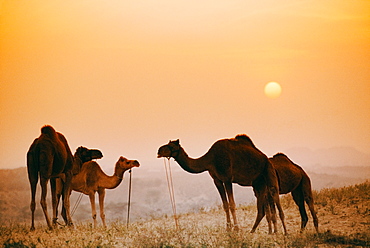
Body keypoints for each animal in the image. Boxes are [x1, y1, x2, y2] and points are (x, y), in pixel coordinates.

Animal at [158, 135, 288, 233]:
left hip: (268, 170)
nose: (159, 150)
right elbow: (225, 205)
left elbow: (232, 204)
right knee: (263, 204)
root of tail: (266, 157)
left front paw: (236, 228)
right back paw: (265, 231)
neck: (210, 159)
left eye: (171, 146)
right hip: (258, 182)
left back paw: (284, 232)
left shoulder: (227, 178)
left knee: (274, 194)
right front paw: (228, 228)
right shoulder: (217, 180)